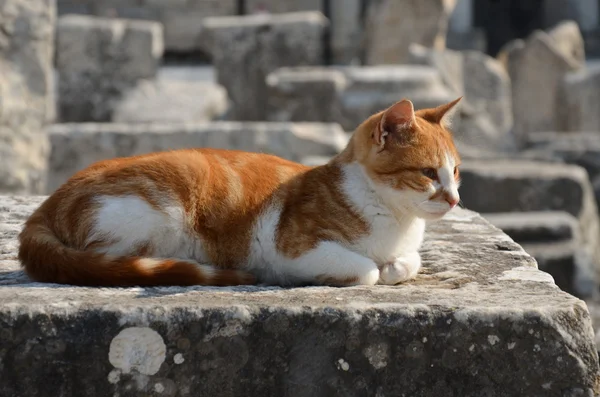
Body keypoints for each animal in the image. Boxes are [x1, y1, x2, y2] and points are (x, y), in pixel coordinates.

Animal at [17, 97, 460, 286]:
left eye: (455, 171)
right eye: (427, 173)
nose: (455, 198)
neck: (396, 221)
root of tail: (48, 203)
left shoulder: (407, 249)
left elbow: (409, 262)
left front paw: (396, 267)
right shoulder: (292, 247)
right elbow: (366, 270)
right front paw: (363, 273)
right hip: (155, 212)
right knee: (110, 259)